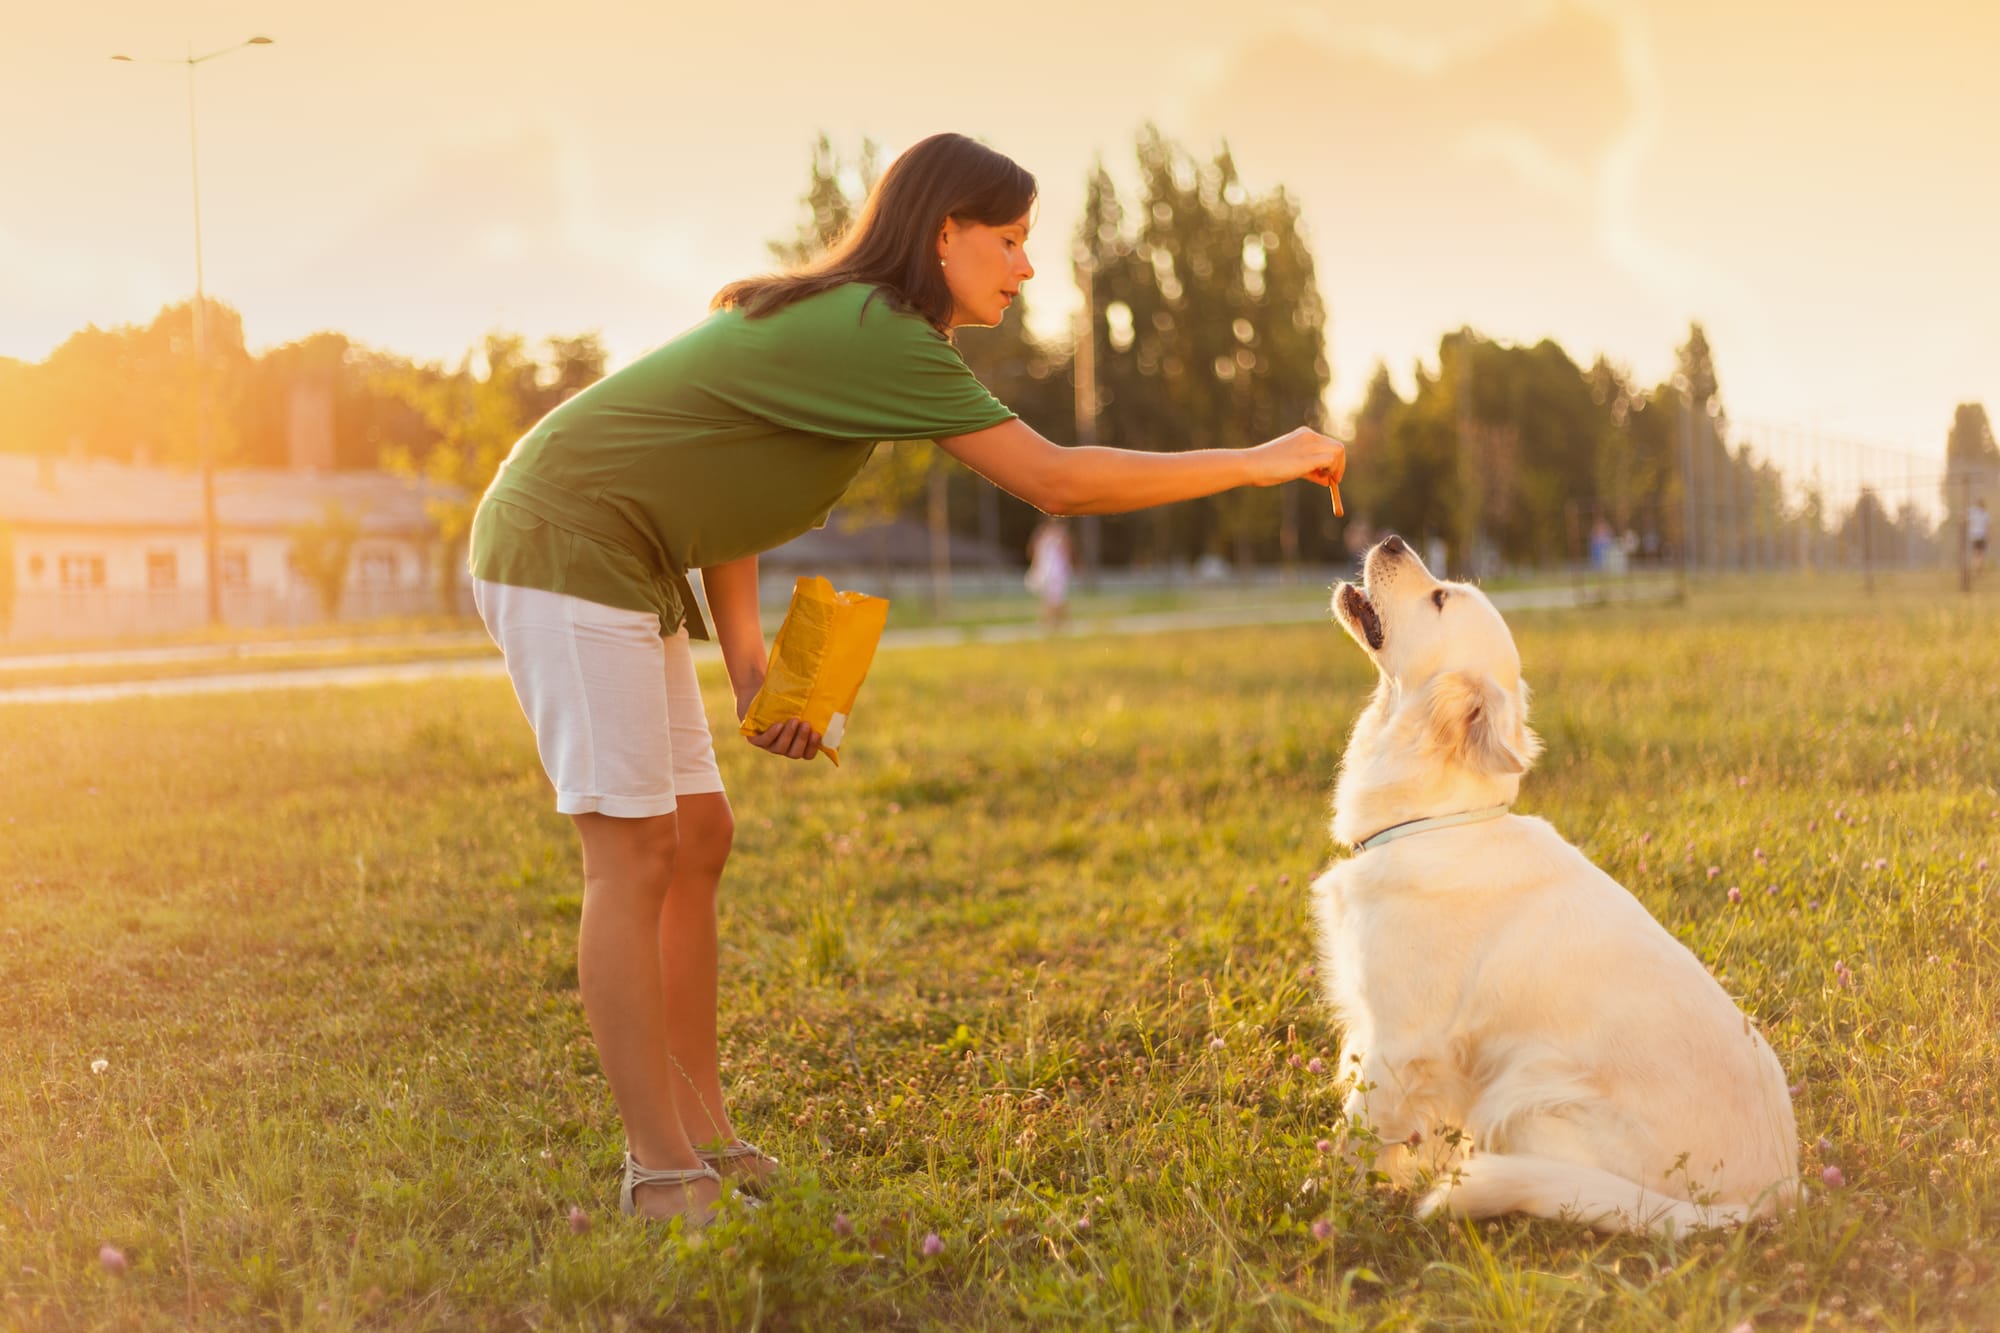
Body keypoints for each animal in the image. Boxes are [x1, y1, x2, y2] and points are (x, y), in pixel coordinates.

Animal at [1312, 536, 1800, 1232]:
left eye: (1439, 597)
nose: (1392, 541)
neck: (1435, 820)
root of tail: (1774, 1200)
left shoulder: (1396, 1045)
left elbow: (1352, 1139)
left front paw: (1323, 1199)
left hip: (1526, 1093)